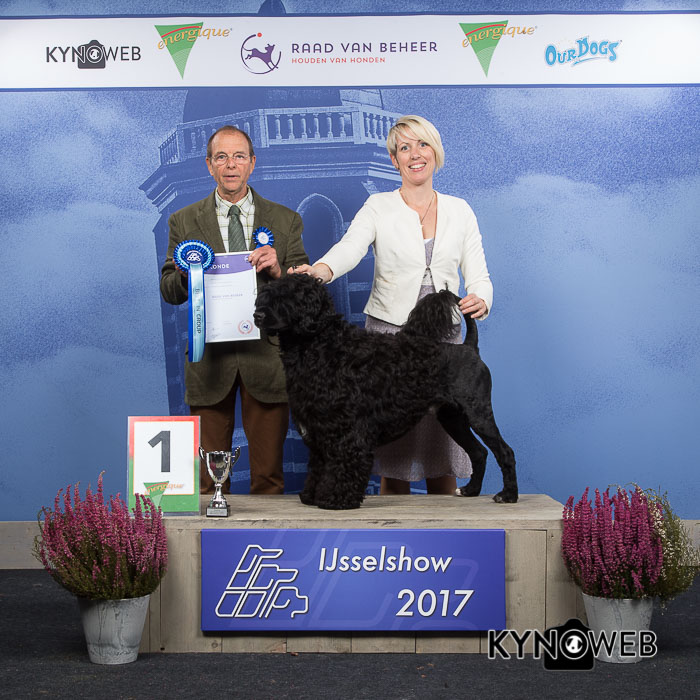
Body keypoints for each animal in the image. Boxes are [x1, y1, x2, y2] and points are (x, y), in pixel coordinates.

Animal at [253, 273, 517, 510]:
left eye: (289, 296)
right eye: (266, 294)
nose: (258, 315)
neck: (323, 345)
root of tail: (469, 348)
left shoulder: (347, 430)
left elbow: (343, 463)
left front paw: (337, 499)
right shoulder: (319, 430)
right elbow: (319, 466)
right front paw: (311, 495)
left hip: (478, 413)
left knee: (504, 451)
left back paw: (508, 495)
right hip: (453, 418)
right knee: (479, 452)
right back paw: (471, 490)